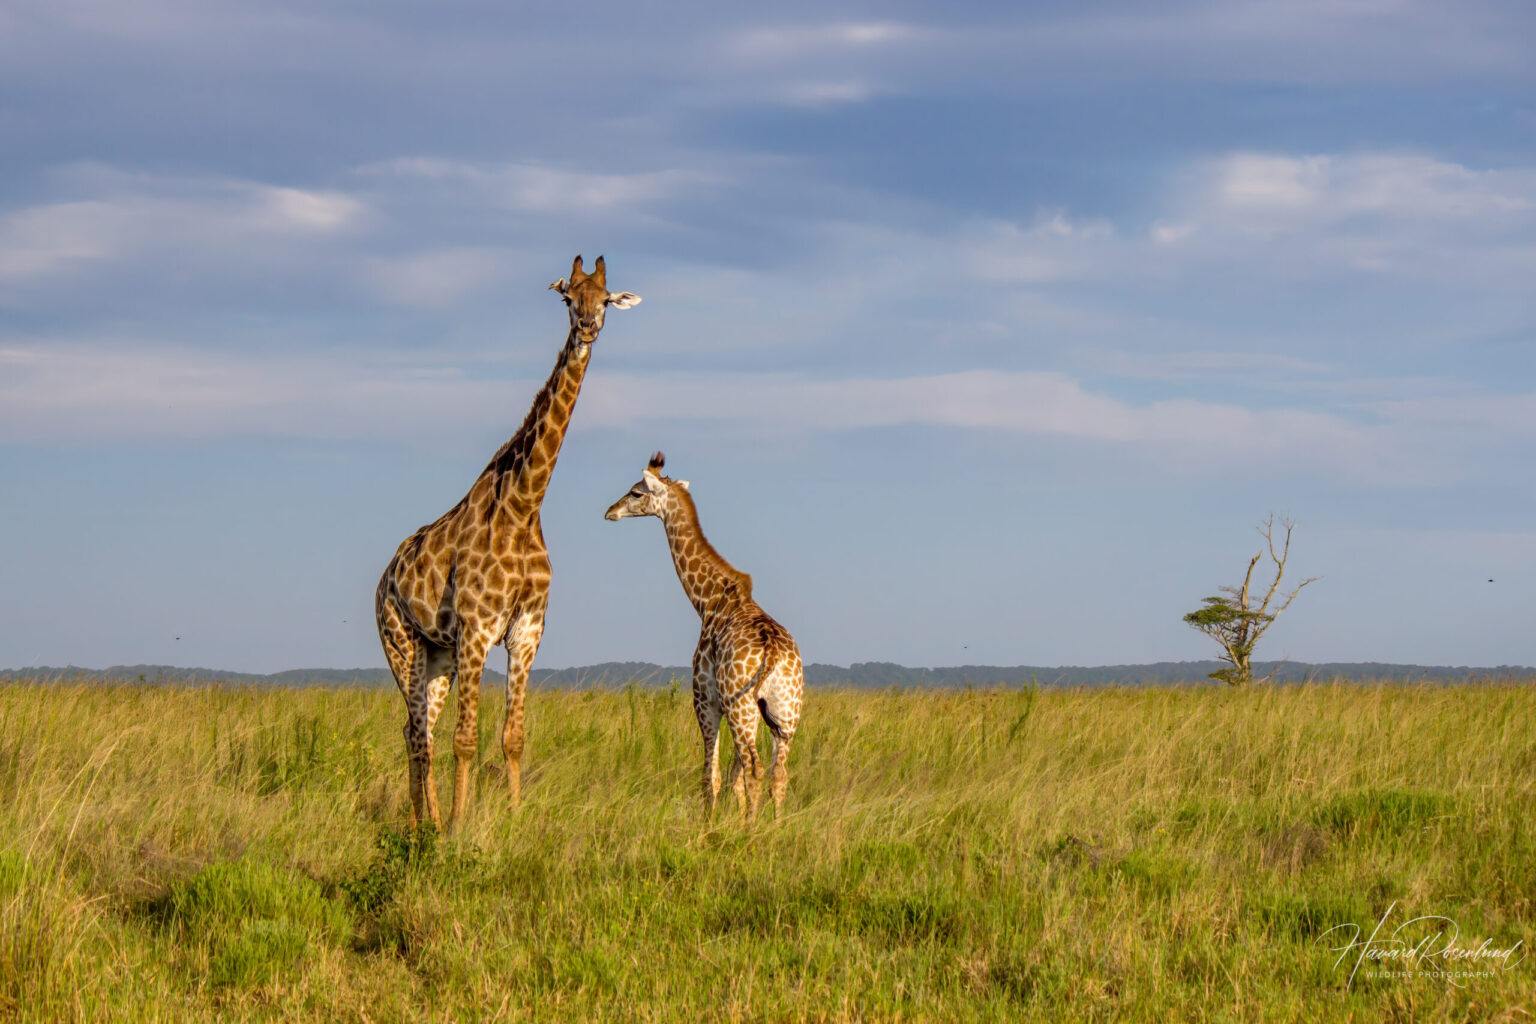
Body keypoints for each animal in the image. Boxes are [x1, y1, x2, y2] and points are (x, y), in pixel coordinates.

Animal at [375, 255, 641, 830]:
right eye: (568, 297)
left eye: (607, 299)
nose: (588, 327)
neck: (522, 507)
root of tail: (384, 576)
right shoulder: (477, 628)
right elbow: (466, 740)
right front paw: (458, 828)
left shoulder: (526, 630)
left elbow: (512, 737)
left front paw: (513, 821)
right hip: (400, 642)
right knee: (416, 733)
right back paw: (423, 826)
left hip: (439, 655)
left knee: (420, 730)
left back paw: (426, 820)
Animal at [604, 453, 804, 822]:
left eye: (636, 492)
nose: (610, 511)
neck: (707, 599)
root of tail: (773, 654)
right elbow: (732, 778)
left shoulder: (705, 699)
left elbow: (710, 777)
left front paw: (710, 825)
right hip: (785, 714)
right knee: (778, 774)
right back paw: (775, 826)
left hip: (742, 707)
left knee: (755, 769)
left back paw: (752, 829)